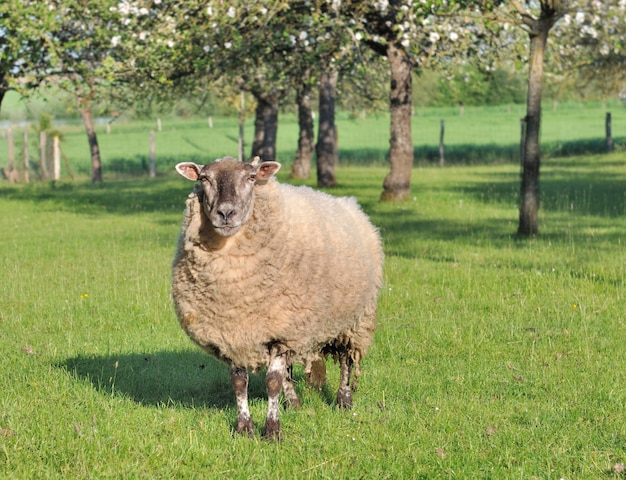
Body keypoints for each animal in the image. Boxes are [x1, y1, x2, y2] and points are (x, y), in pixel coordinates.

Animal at [173, 156, 382, 440]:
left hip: (355, 319)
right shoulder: (232, 332)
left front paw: (272, 430)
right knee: (289, 372)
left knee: (347, 360)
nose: (226, 213)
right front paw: (244, 428)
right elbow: (239, 382)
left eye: (251, 178)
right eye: (203, 179)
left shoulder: (281, 332)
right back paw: (294, 403)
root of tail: (350, 203)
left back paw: (343, 400)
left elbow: (272, 381)